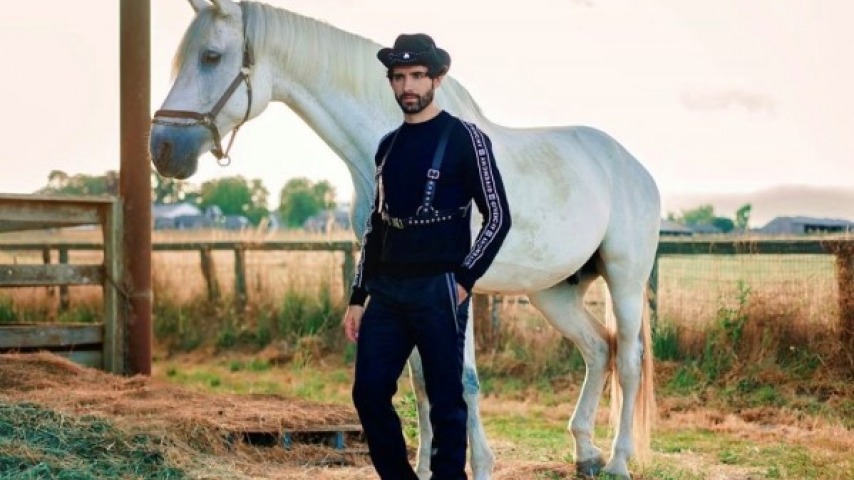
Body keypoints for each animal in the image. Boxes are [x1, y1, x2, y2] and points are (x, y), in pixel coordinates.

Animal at [150, 1, 664, 478]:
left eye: (212, 56)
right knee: (598, 349)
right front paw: (424, 467)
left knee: (629, 360)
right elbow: (420, 383)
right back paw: (586, 454)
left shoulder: (457, 293)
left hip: (624, 280)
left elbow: (464, 380)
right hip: (553, 292)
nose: (163, 150)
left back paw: (618, 461)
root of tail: (634, 167)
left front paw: (479, 465)